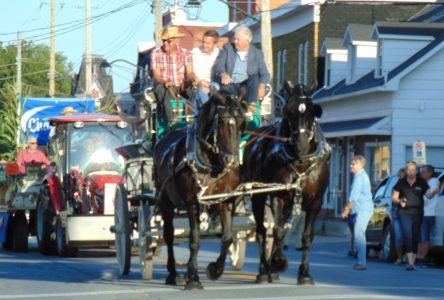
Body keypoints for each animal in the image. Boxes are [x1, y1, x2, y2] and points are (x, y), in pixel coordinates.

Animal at [153, 91, 248, 290]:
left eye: (242, 122)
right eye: (222, 122)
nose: (231, 161)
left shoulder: (225, 201)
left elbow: (227, 237)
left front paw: (215, 270)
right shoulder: (192, 203)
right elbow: (195, 240)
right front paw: (193, 278)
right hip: (165, 202)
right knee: (169, 235)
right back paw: (173, 273)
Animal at [243, 82, 330, 286]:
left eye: (312, 112)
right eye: (288, 111)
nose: (302, 145)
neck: (301, 162)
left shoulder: (316, 202)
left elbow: (306, 237)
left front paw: (304, 274)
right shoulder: (278, 196)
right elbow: (278, 231)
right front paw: (278, 262)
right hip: (258, 196)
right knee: (261, 231)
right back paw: (263, 270)